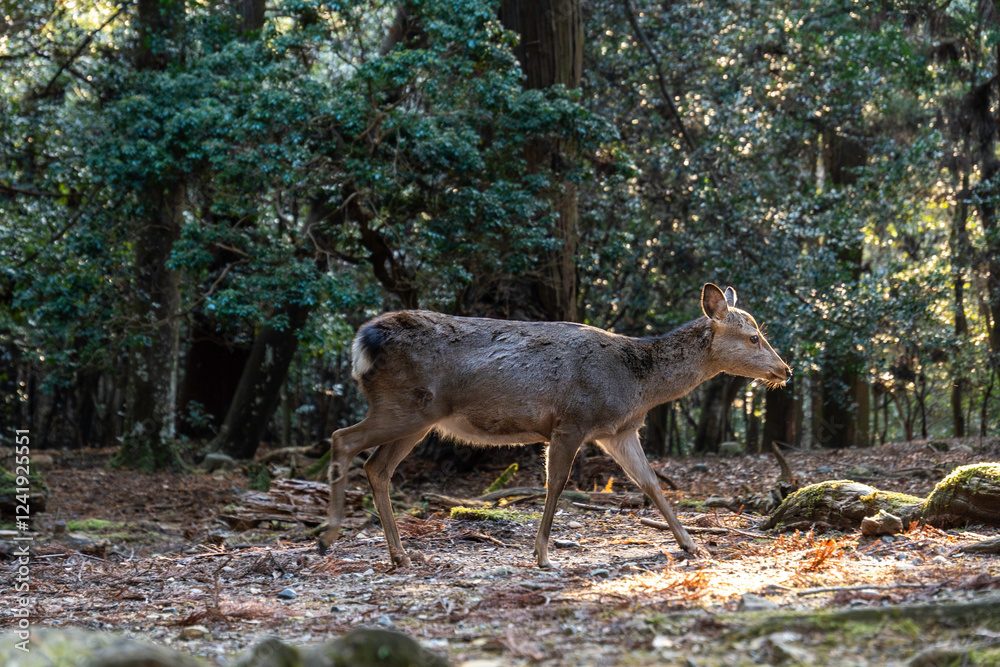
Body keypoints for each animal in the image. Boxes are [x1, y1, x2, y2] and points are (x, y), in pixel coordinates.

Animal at [318, 283, 791, 568]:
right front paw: (542, 554)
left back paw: (399, 554)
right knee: (342, 439)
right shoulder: (572, 420)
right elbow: (557, 483)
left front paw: (691, 544)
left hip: (418, 418)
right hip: (406, 406)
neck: (638, 385)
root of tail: (364, 340)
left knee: (376, 466)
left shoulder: (618, 431)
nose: (785, 370)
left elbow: (651, 484)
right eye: (753, 337)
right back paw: (329, 535)